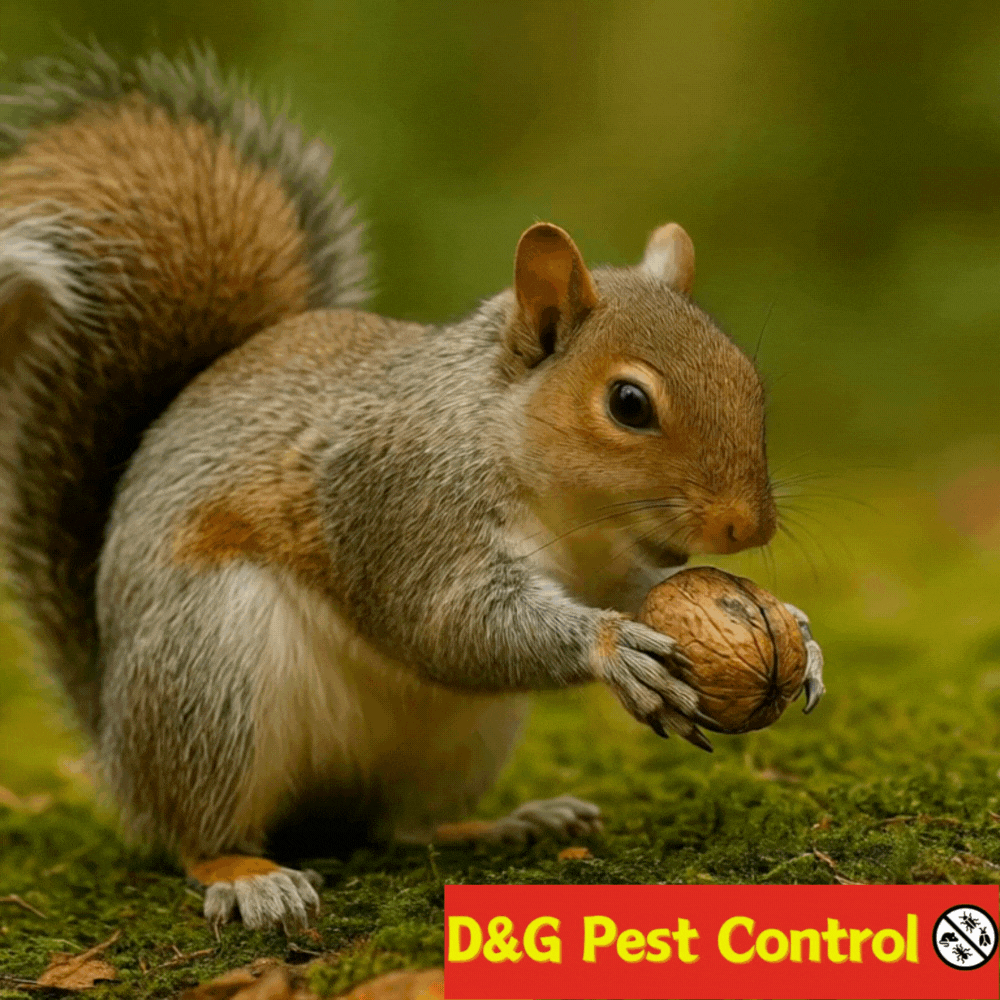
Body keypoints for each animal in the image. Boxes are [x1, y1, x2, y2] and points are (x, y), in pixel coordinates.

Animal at [0, 42, 824, 933]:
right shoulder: (398, 500)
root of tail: (115, 743)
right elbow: (445, 619)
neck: (556, 494)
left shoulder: (605, 560)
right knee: (195, 828)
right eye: (629, 404)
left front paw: (793, 629)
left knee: (400, 826)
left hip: (458, 740)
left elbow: (639, 593)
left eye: (749, 379)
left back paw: (506, 824)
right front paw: (612, 648)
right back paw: (248, 874)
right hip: (209, 671)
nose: (748, 527)